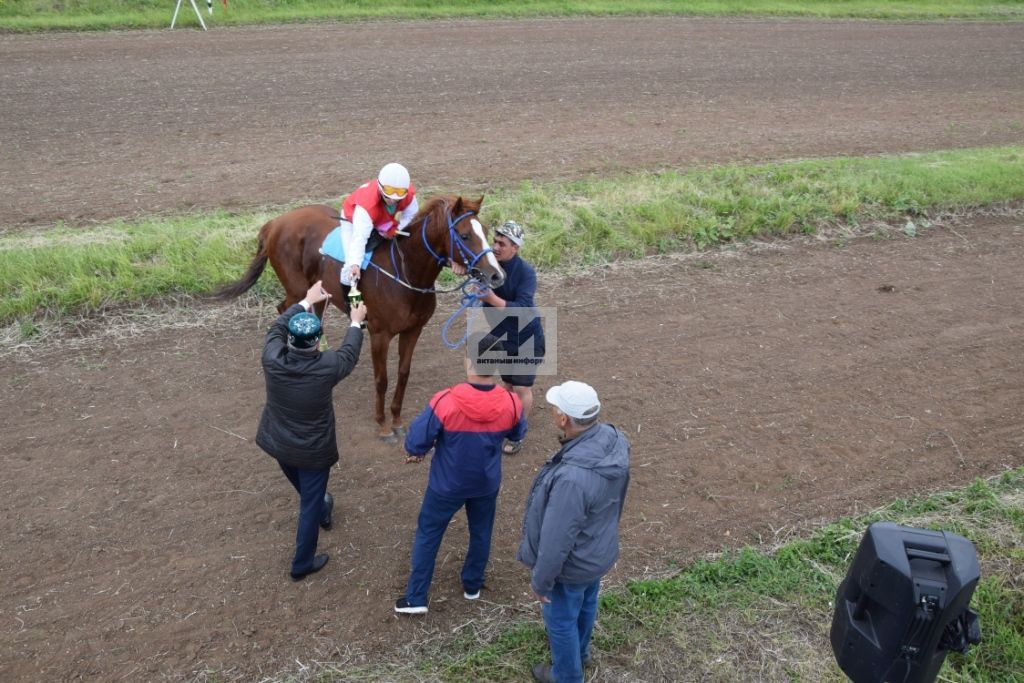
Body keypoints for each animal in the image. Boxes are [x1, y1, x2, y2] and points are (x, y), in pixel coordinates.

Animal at [216, 196, 503, 444]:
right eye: (464, 235)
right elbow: (382, 379)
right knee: (286, 308)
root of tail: (274, 223)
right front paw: (383, 425)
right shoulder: (379, 334)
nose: (497, 275)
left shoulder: (413, 330)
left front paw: (396, 419)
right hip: (296, 289)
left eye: (485, 230)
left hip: (318, 288)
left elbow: (403, 373)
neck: (405, 272)